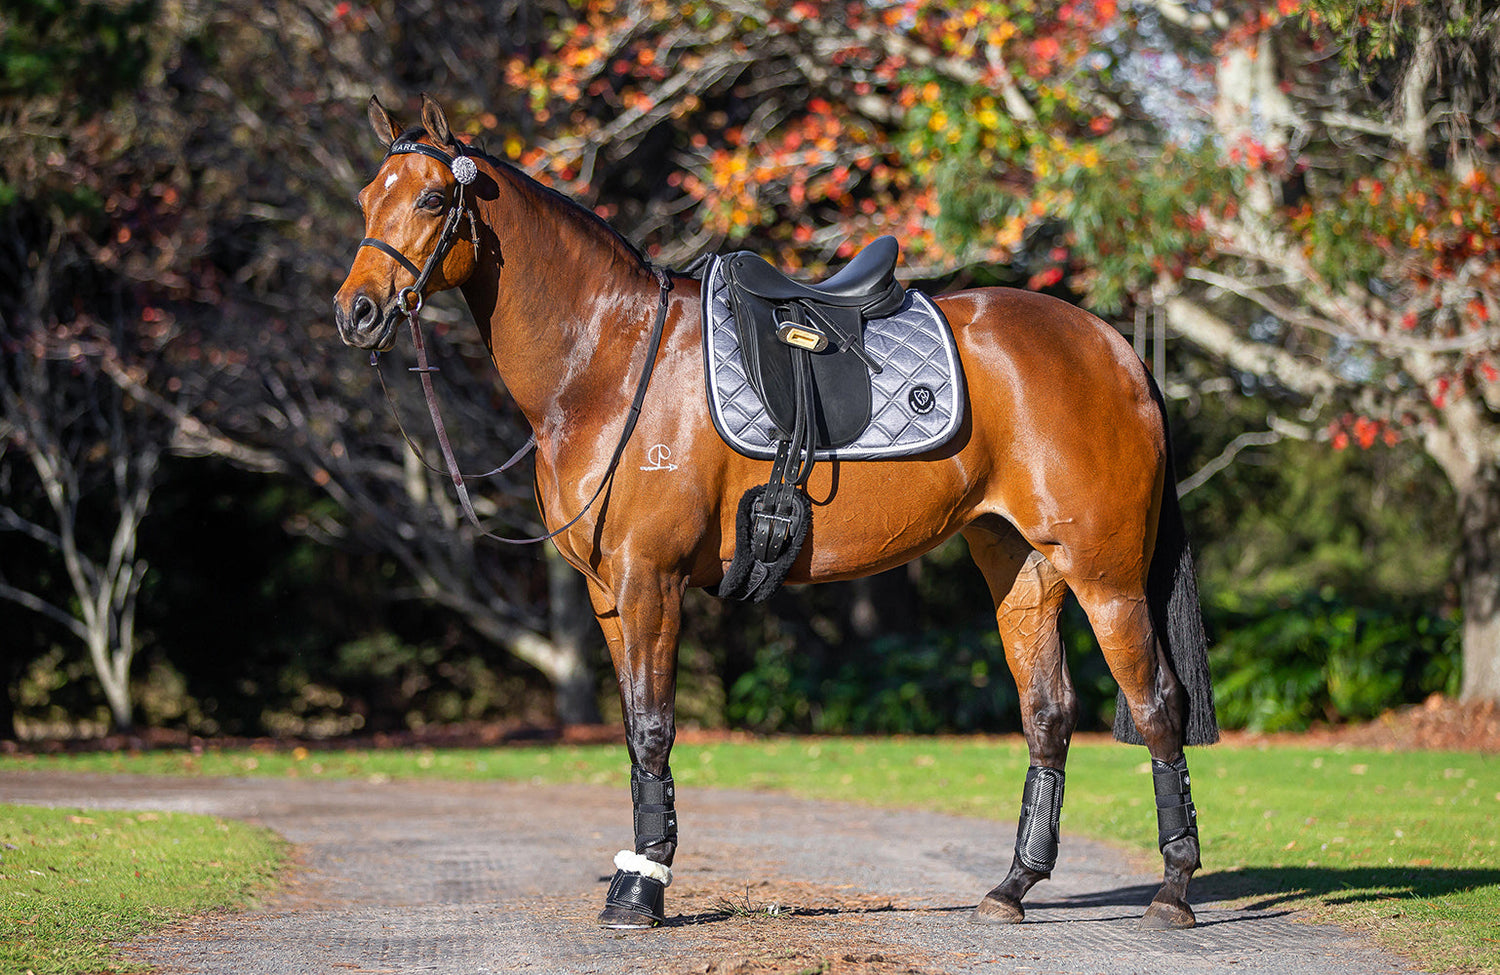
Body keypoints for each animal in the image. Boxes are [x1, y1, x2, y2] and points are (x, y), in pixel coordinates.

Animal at [333, 94, 1218, 931]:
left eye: (432, 199)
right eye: (367, 198)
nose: (357, 314)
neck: (611, 363)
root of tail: (1114, 347)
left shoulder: (650, 582)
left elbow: (653, 729)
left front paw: (641, 890)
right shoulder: (608, 593)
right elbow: (632, 729)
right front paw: (634, 877)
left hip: (1106, 577)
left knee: (1157, 705)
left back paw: (1173, 890)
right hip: (1022, 568)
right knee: (1049, 713)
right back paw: (1011, 888)